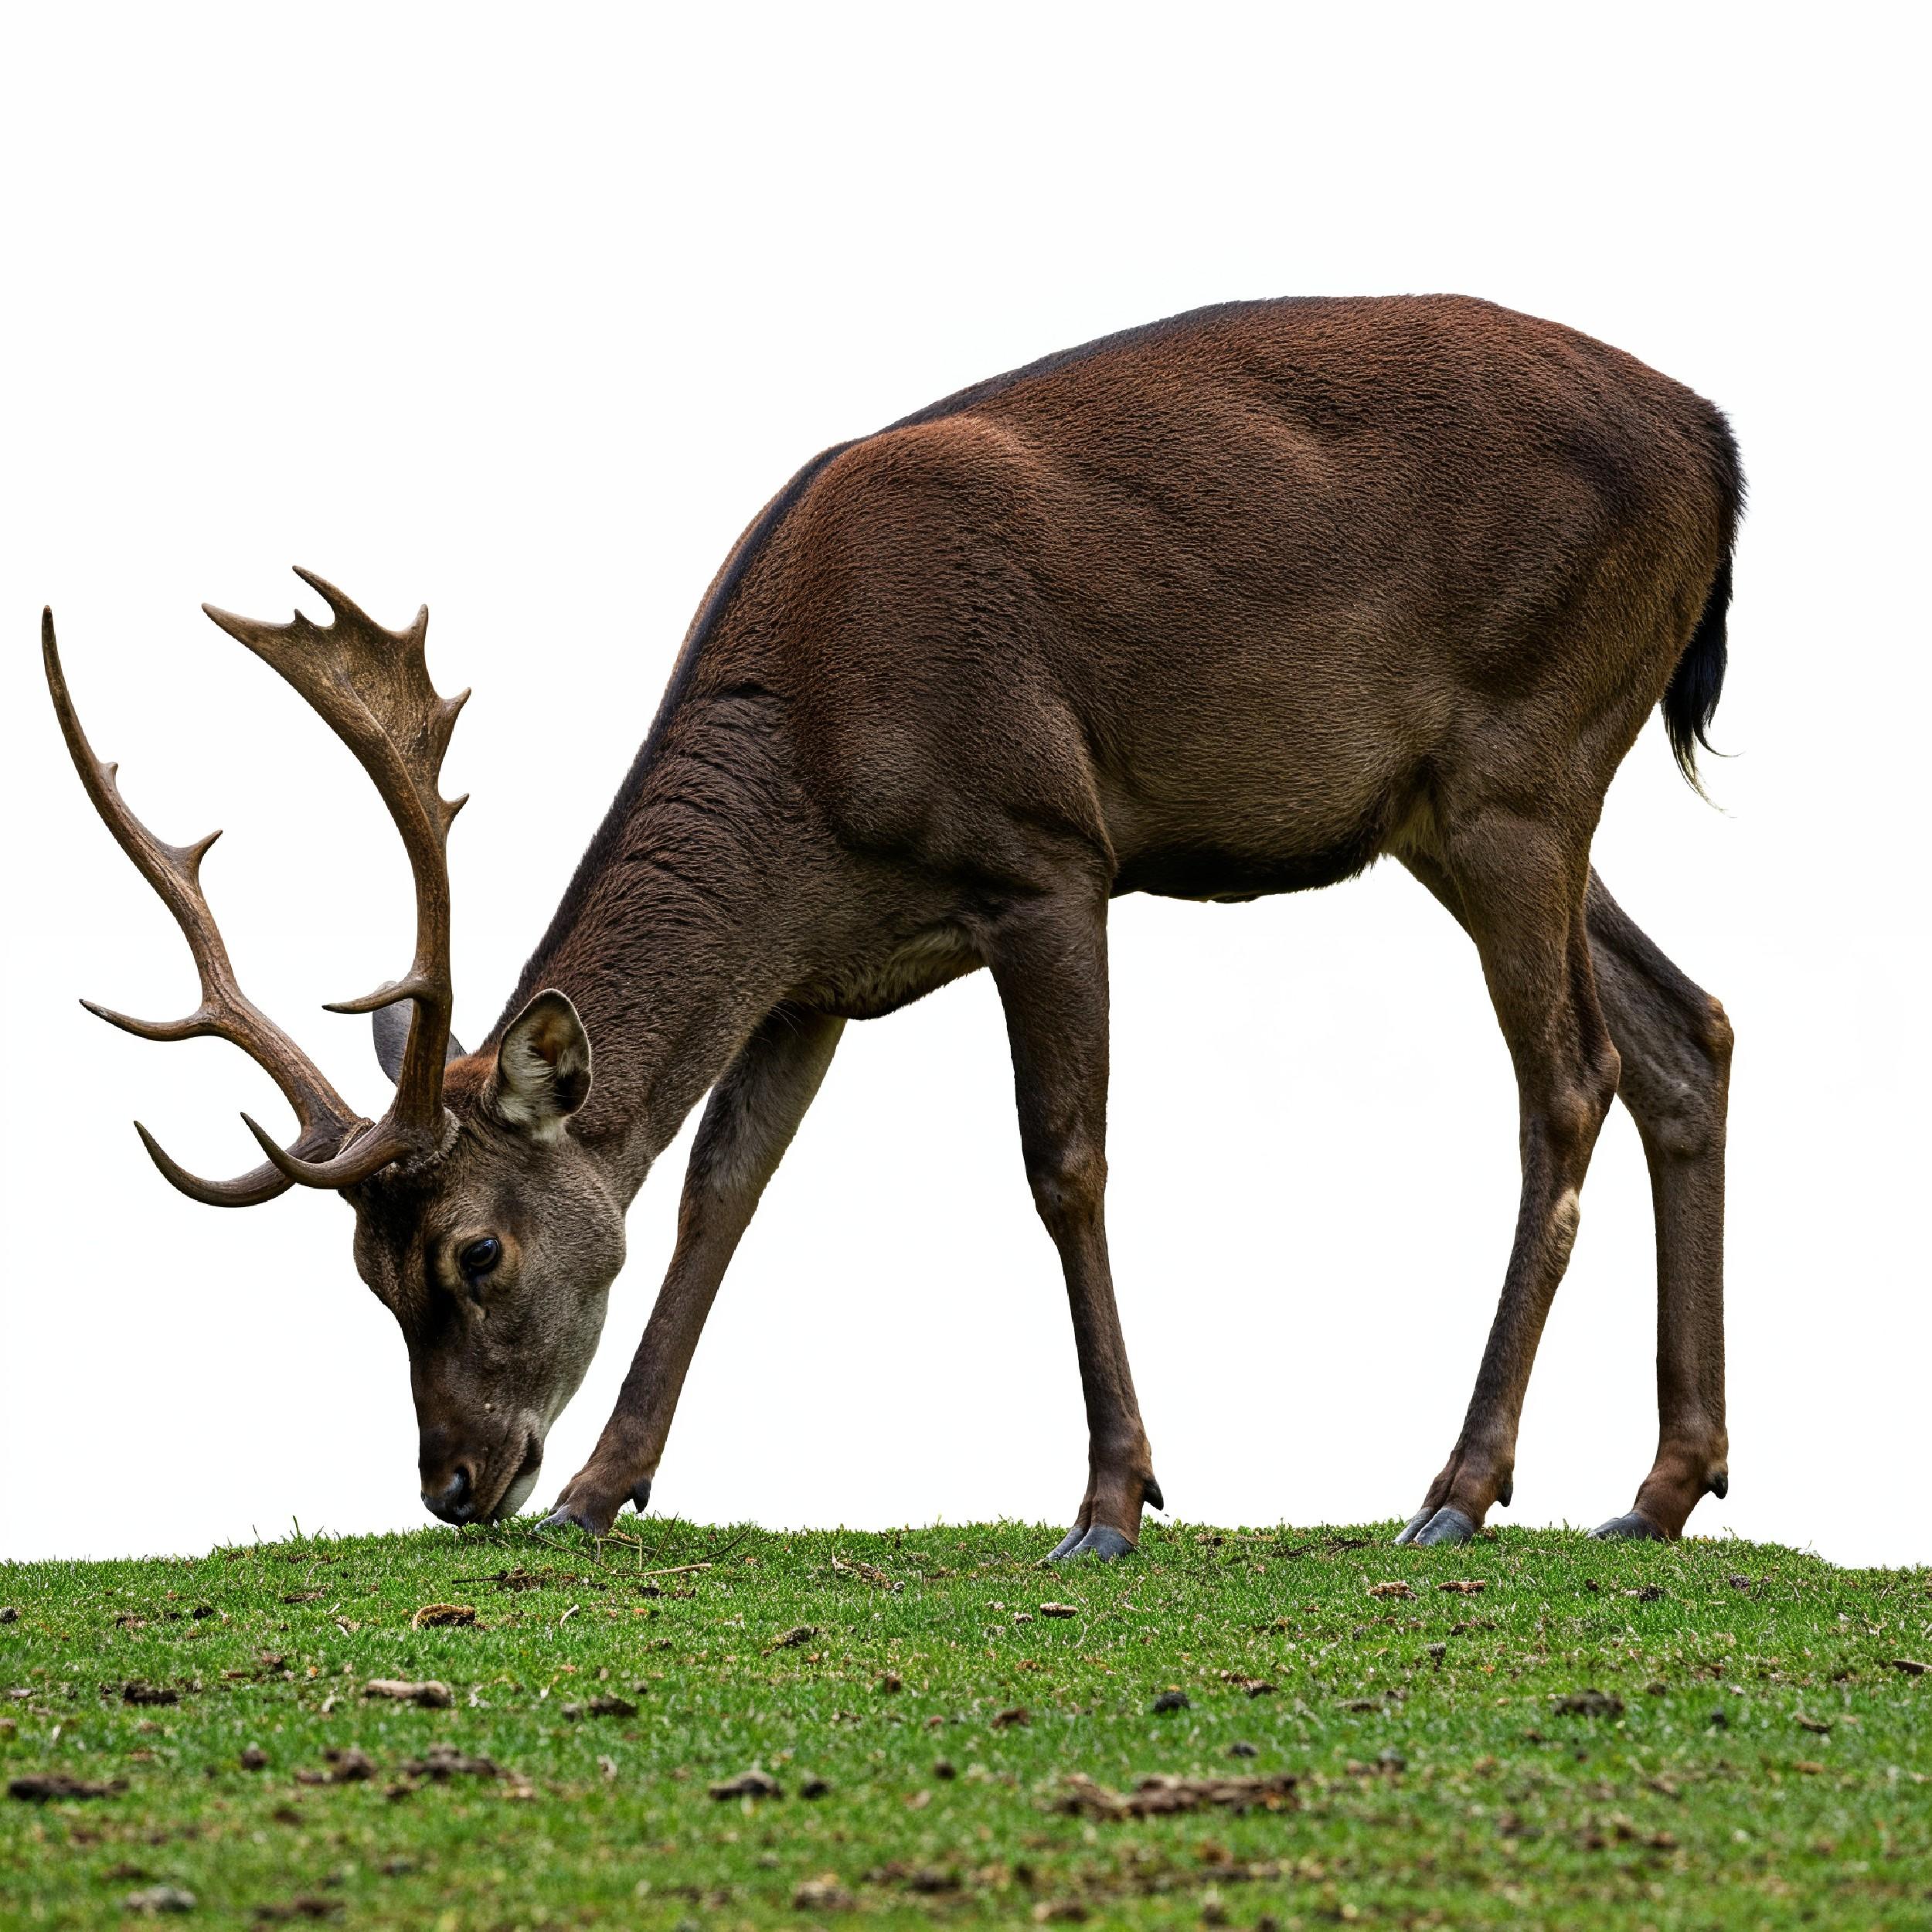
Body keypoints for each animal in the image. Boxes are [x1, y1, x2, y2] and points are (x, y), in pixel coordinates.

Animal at [45, 295, 1740, 1555]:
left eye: (474, 1249)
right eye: (361, 1273)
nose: (455, 1483)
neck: (809, 767)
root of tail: (1716, 448)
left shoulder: (1045, 855)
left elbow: (1063, 1160)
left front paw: (1112, 1500)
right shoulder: (814, 976)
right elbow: (719, 1189)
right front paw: (606, 1484)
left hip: (1520, 754)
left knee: (1568, 1077)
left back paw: (1458, 1488)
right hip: (1459, 808)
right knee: (1690, 1032)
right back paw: (1661, 1487)